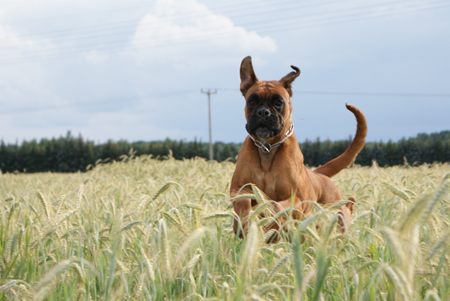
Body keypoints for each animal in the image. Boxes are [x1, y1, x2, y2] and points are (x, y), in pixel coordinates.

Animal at [230, 56, 368, 237]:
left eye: (278, 102)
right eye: (252, 101)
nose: (263, 112)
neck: (268, 148)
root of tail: (318, 175)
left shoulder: (299, 199)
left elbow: (277, 206)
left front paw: (271, 226)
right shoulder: (238, 188)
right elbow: (243, 202)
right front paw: (244, 225)